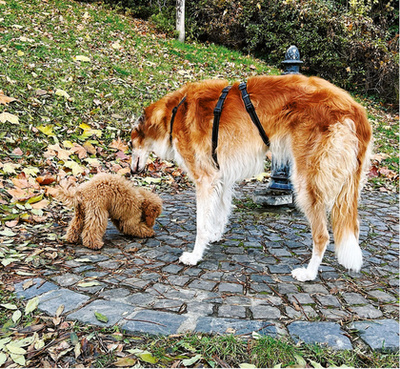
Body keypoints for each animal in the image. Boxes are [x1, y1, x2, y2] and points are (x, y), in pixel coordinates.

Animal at [130, 75, 372, 282]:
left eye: (131, 144)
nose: (132, 171)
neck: (174, 112)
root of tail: (354, 109)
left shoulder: (205, 179)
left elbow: (201, 224)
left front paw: (195, 255)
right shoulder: (220, 177)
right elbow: (220, 211)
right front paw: (214, 235)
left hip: (306, 183)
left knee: (322, 236)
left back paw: (308, 273)